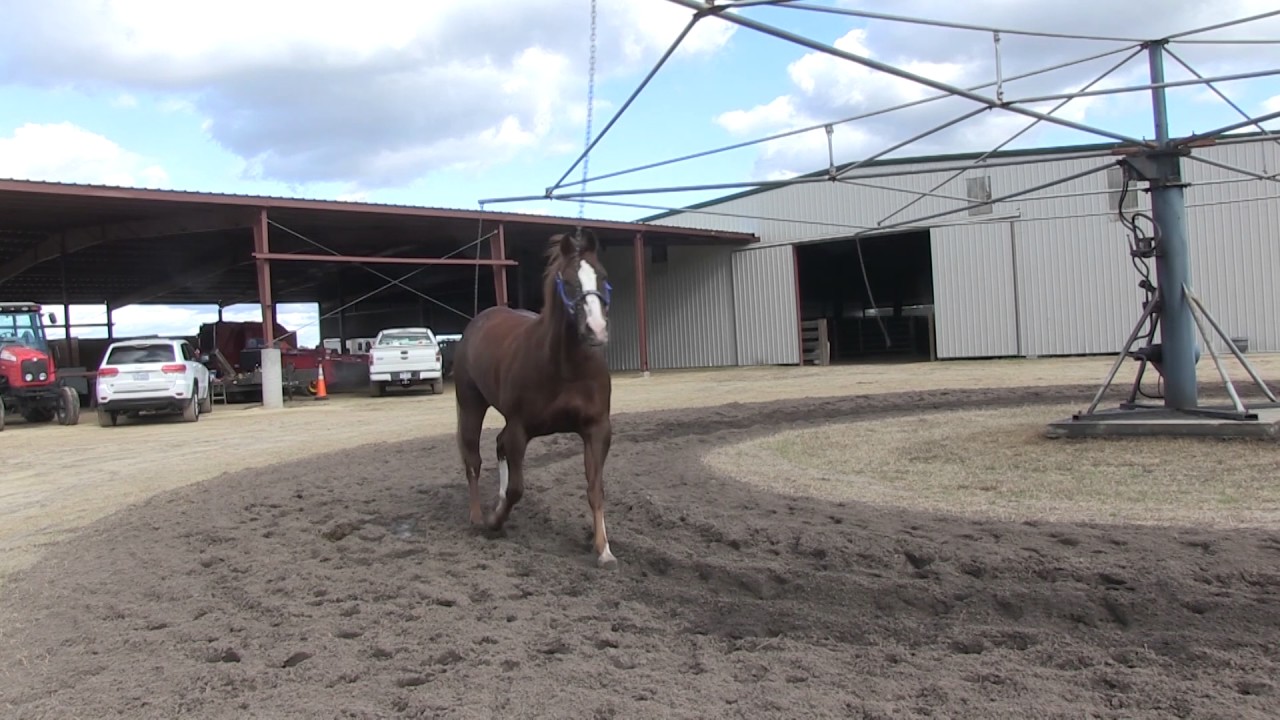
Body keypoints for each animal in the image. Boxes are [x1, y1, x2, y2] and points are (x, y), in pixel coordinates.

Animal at [451, 227, 617, 567]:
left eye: (603, 276)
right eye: (568, 280)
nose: (596, 330)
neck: (567, 367)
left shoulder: (597, 429)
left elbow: (595, 488)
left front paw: (603, 549)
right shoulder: (520, 428)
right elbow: (517, 488)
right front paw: (494, 521)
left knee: (497, 445)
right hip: (472, 405)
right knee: (473, 459)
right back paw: (477, 517)